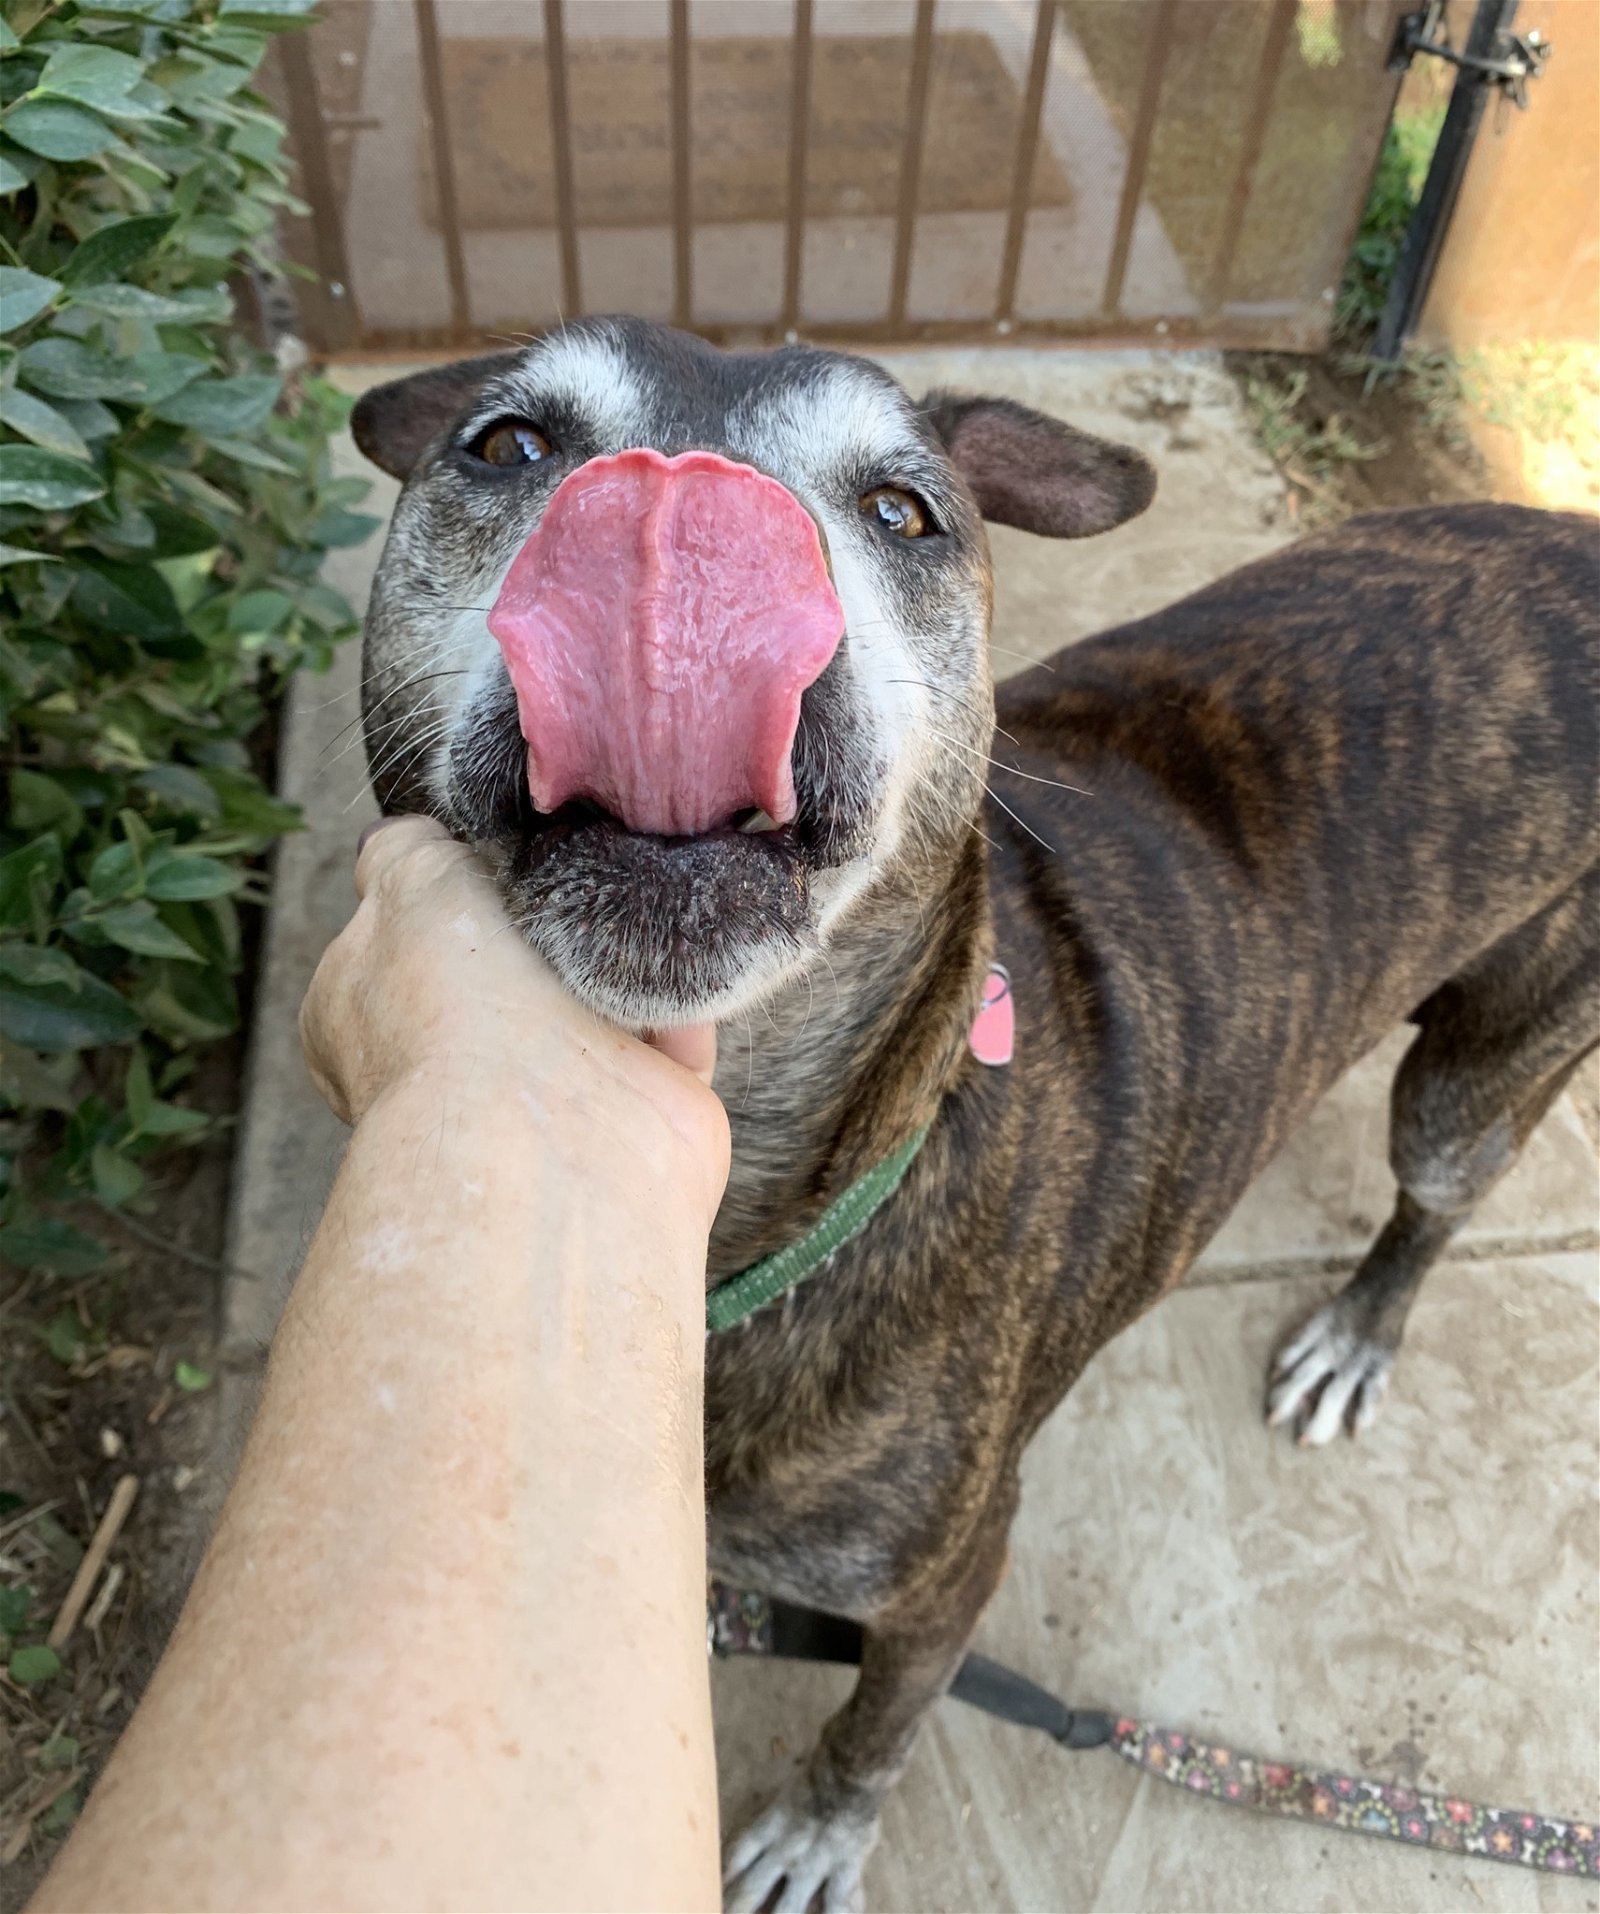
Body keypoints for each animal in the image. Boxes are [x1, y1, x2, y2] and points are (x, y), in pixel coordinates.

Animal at [354, 321, 1600, 1906]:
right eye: (506, 445)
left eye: (904, 512)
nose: (681, 522)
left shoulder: (948, 1584)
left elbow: (876, 1720)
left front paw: (818, 1831)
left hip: (1481, 1071)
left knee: (1435, 1192)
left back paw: (1355, 1334)